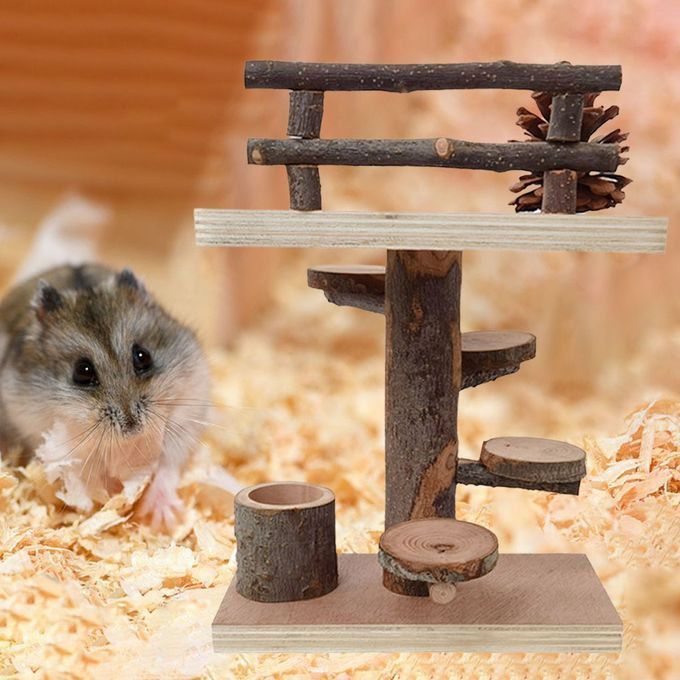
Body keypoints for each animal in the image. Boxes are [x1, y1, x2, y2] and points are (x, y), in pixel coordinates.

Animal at [0, 264, 210, 529]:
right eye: (82, 371)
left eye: (143, 356)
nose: (132, 427)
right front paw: (113, 495)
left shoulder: (185, 416)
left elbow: (167, 466)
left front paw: (163, 520)